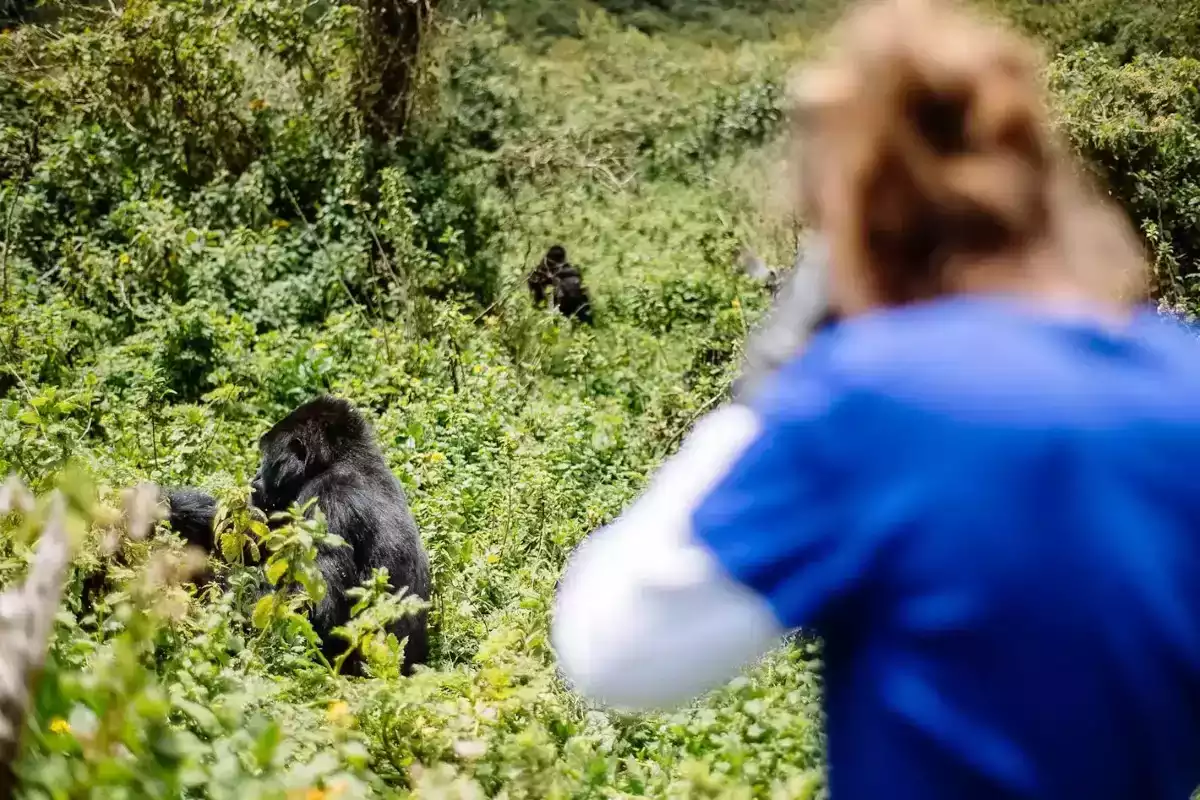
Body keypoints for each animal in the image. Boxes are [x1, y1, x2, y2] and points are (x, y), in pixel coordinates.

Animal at [163, 396, 431, 676]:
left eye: (265, 458)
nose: (255, 477)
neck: (343, 460)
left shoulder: (328, 499)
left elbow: (307, 608)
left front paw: (201, 578)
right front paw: (167, 505)